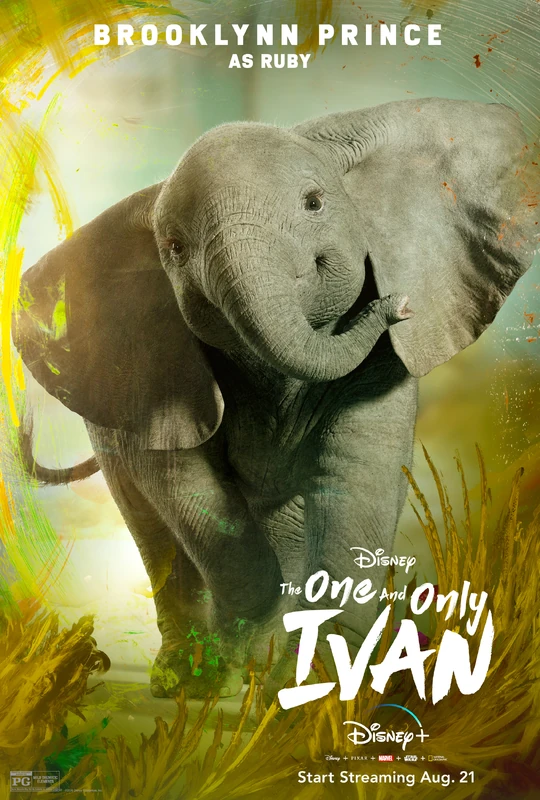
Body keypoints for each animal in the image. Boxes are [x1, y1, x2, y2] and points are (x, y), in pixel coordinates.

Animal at [13, 98, 535, 700]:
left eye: (314, 203)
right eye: (175, 250)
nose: (398, 306)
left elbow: (357, 475)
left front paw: (309, 696)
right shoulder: (152, 379)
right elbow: (188, 491)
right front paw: (252, 656)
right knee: (153, 530)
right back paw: (192, 676)